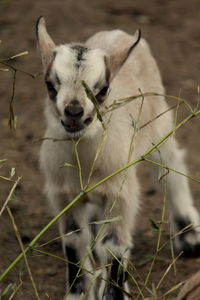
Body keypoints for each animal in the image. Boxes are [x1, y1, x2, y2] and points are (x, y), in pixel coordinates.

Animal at [36, 17, 200, 300]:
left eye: (103, 90)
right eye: (50, 85)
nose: (74, 112)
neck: (84, 163)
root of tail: (117, 33)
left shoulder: (120, 193)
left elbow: (113, 247)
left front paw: (113, 294)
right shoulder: (64, 195)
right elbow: (74, 243)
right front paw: (79, 293)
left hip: (159, 123)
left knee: (171, 166)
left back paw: (189, 235)